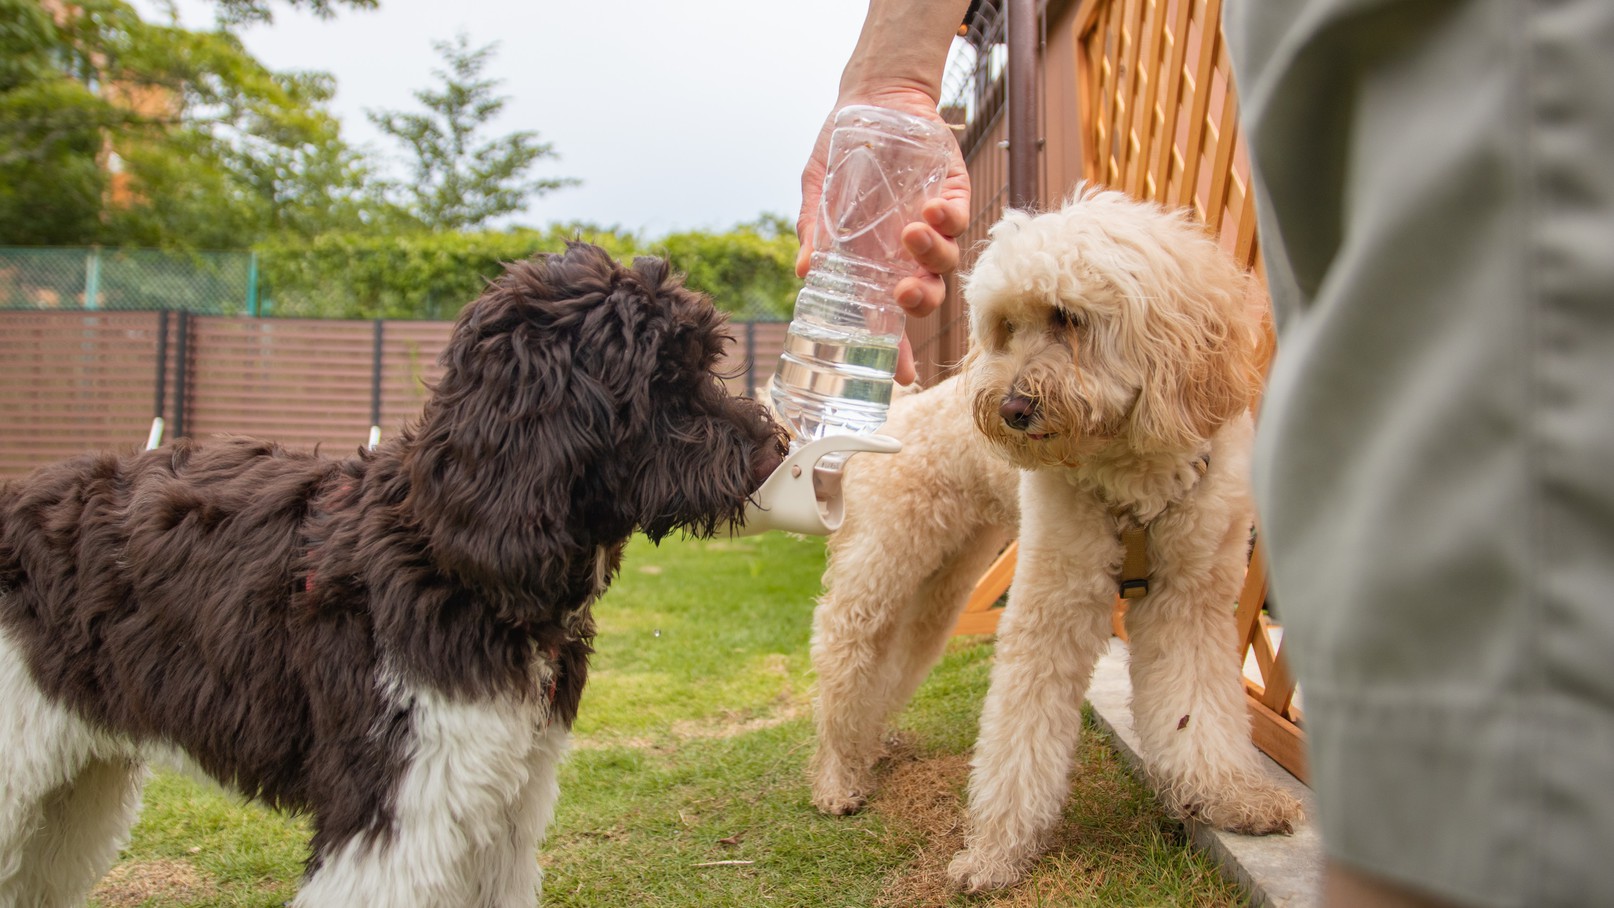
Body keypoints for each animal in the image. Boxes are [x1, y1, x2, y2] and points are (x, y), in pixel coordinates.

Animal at [0, 243, 781, 908]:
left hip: (76, 780)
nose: (773, 448)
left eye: (700, 363)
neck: (447, 551)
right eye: (663, 382)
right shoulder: (397, 804)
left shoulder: (504, 799)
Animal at [807, 186, 1297, 896]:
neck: (1132, 473)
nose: (1009, 410)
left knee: (895, 662)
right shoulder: (1051, 605)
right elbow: (1021, 733)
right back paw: (837, 777)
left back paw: (870, 746)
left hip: (943, 587)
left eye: (1067, 317)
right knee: (844, 663)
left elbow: (1196, 709)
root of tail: (900, 409)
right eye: (1005, 327)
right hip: (880, 568)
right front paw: (995, 852)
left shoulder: (1190, 601)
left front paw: (1231, 797)